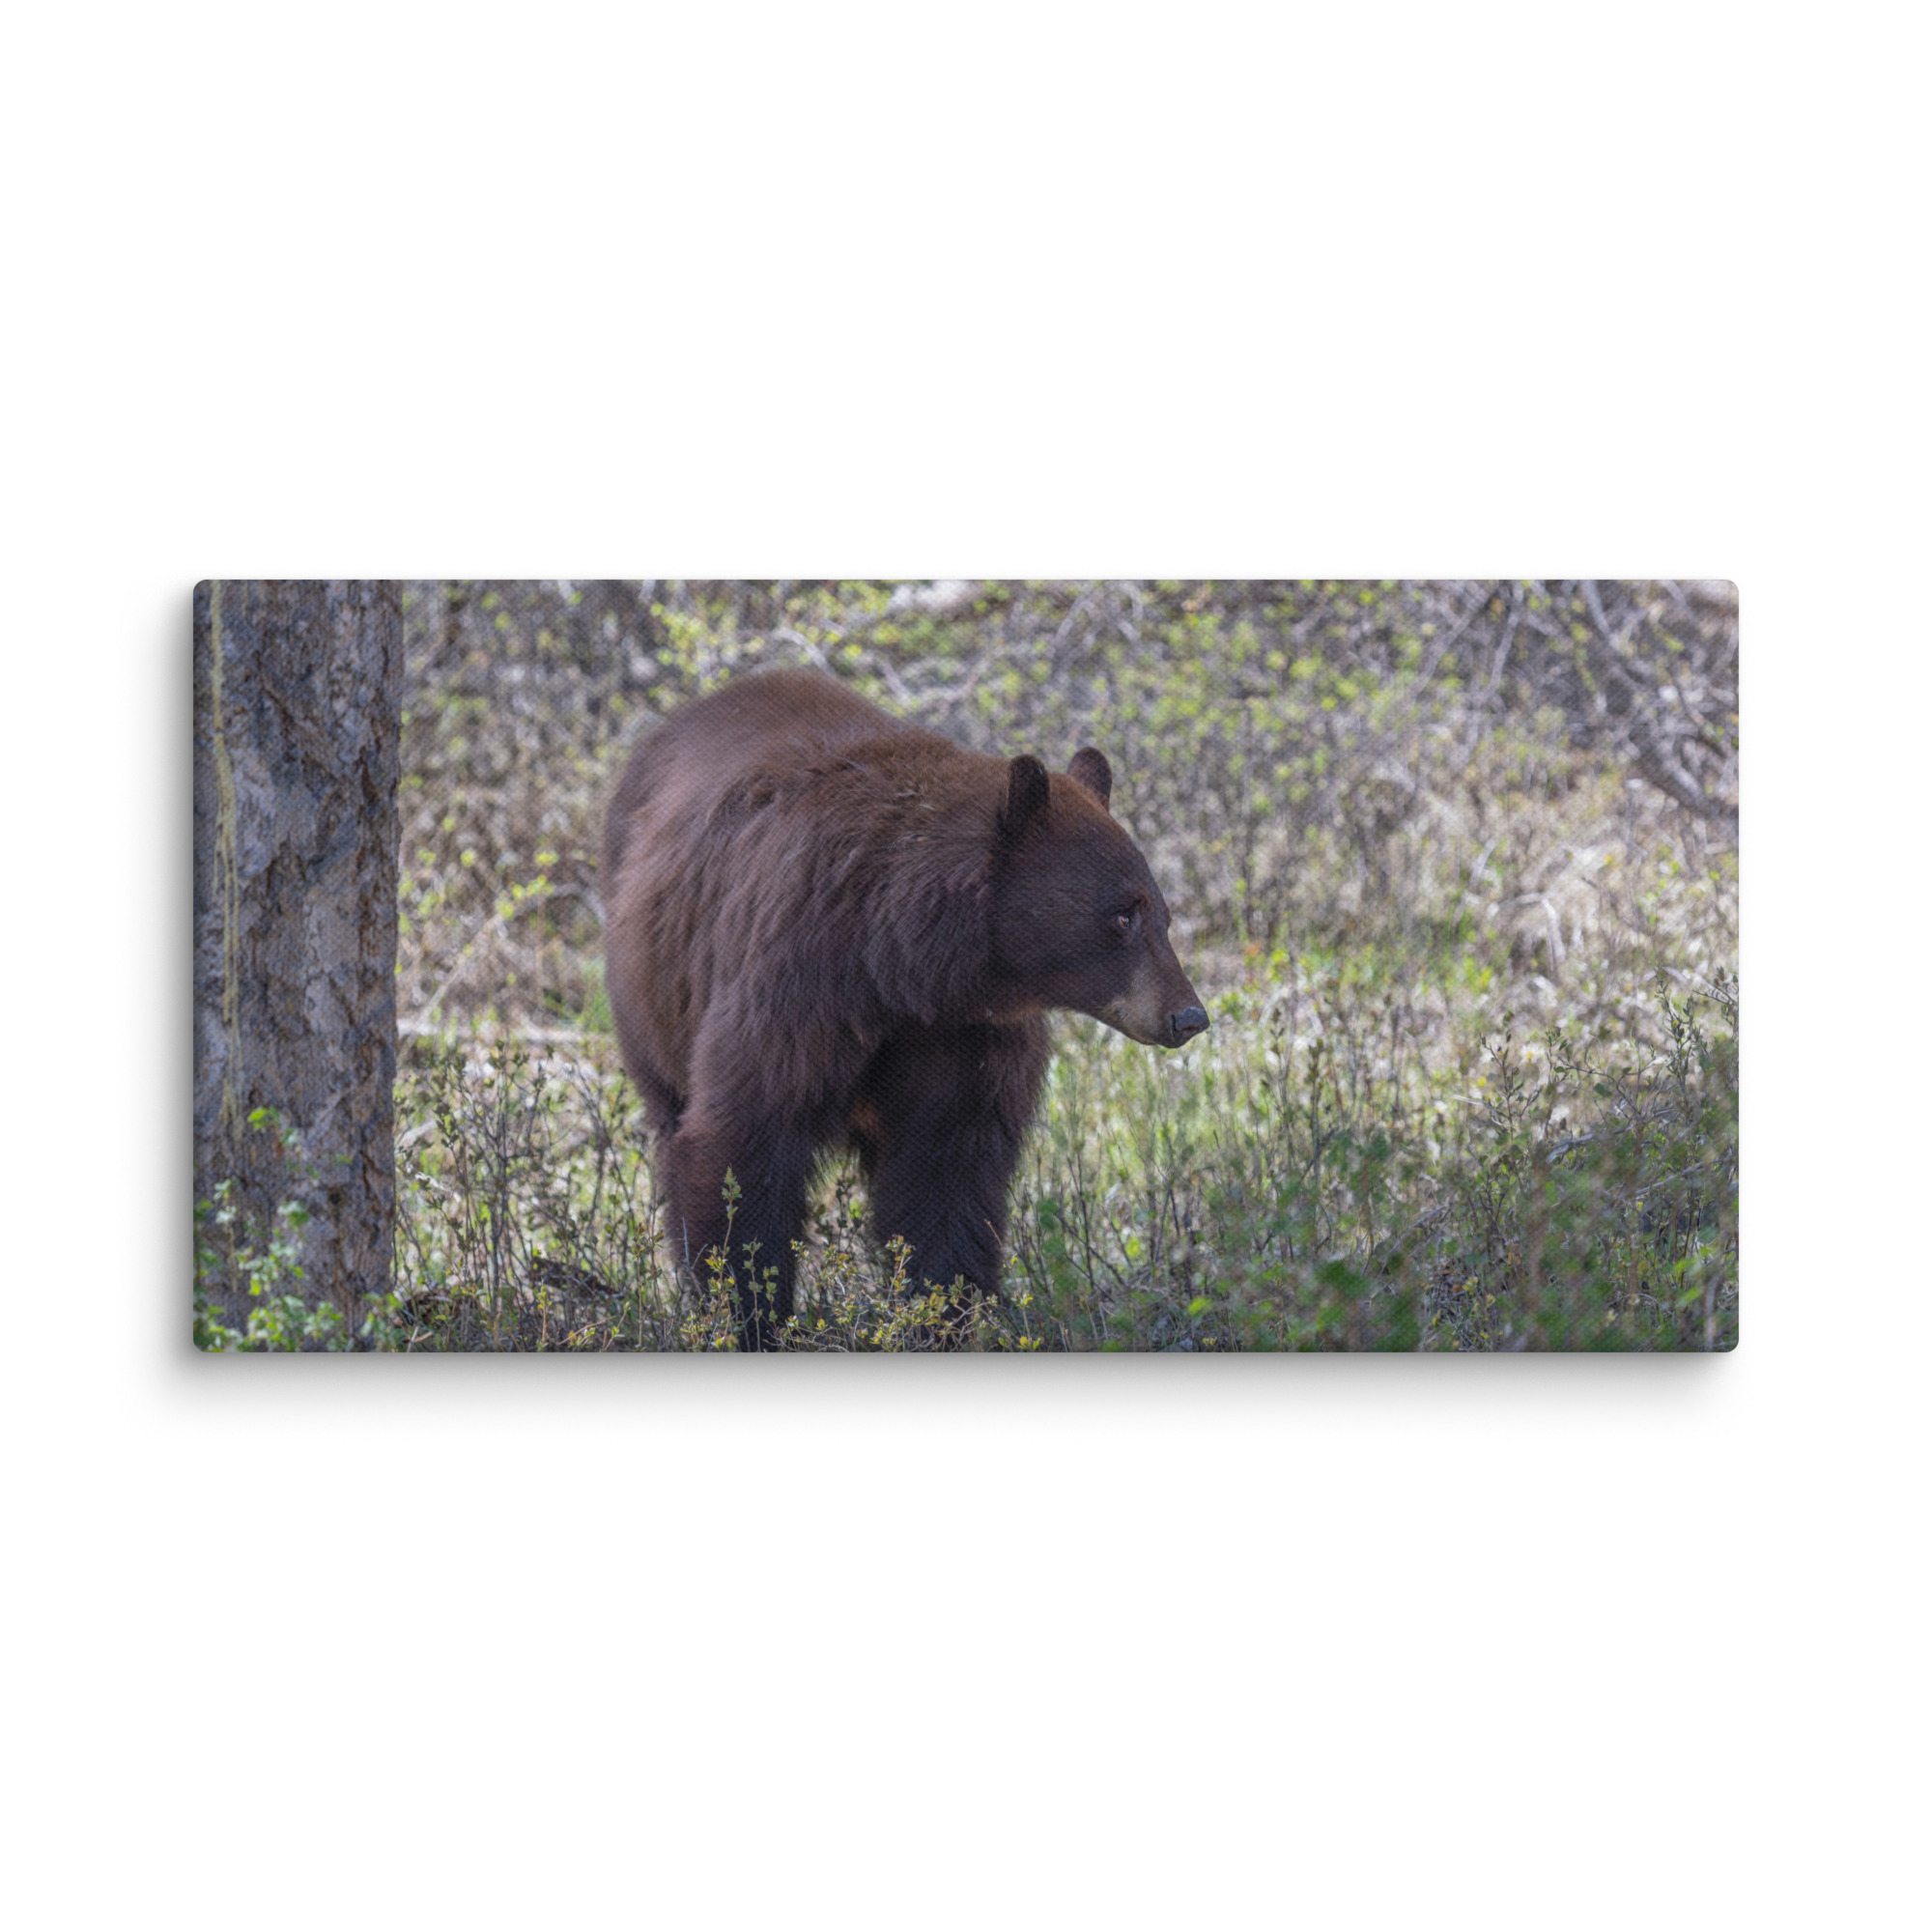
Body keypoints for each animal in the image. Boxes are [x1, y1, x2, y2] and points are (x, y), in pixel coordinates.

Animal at [601, 666, 1208, 1348]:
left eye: (1163, 915)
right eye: (1122, 917)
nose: (1188, 1016)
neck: (899, 963)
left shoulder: (963, 1034)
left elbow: (946, 1169)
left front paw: (938, 1314)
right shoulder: (797, 983)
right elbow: (745, 1140)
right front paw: (747, 1315)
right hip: (653, 995)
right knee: (671, 1115)